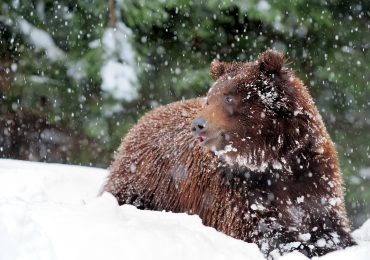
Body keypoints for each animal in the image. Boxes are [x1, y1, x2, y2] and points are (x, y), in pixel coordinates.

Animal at [102, 49, 356, 256]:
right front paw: (300, 244)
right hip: (150, 179)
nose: (198, 125)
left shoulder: (313, 177)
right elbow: (264, 232)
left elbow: (329, 226)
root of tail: (143, 119)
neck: (272, 159)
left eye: (230, 97)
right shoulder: (238, 191)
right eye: (209, 98)